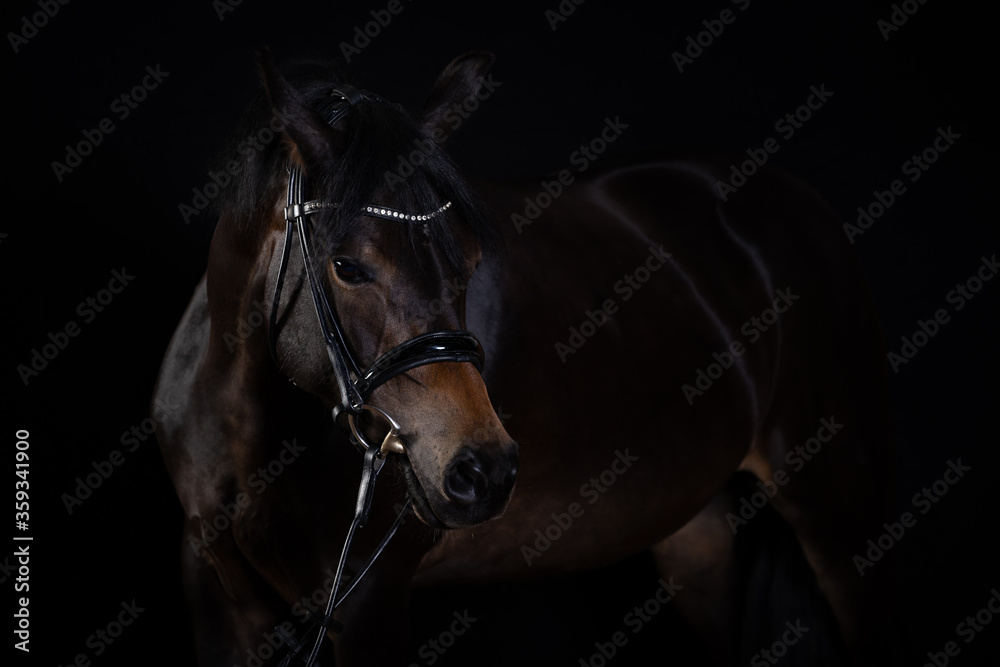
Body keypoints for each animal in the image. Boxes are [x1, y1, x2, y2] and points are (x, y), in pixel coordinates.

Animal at [153, 48, 895, 666]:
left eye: (468, 260)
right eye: (347, 266)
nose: (483, 469)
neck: (248, 435)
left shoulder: (367, 607)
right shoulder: (220, 606)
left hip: (836, 497)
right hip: (696, 530)